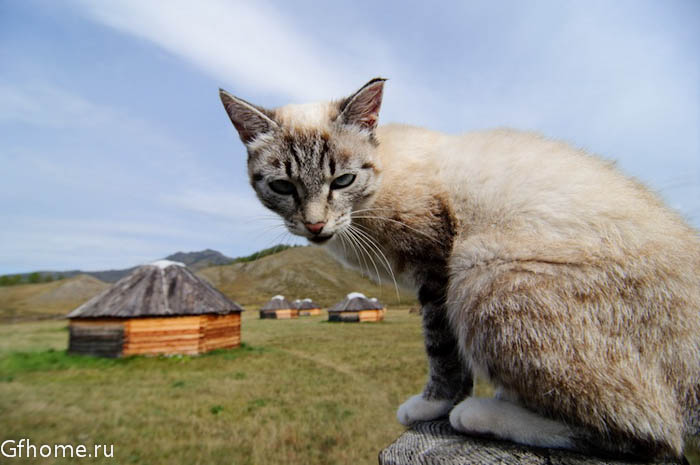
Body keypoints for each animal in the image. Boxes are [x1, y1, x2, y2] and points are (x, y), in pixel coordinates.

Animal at [220, 78, 700, 458]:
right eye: (283, 186)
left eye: (343, 181)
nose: (315, 225)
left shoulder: (436, 264)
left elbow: (441, 349)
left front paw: (432, 405)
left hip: (480, 269)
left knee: (653, 435)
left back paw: (481, 413)